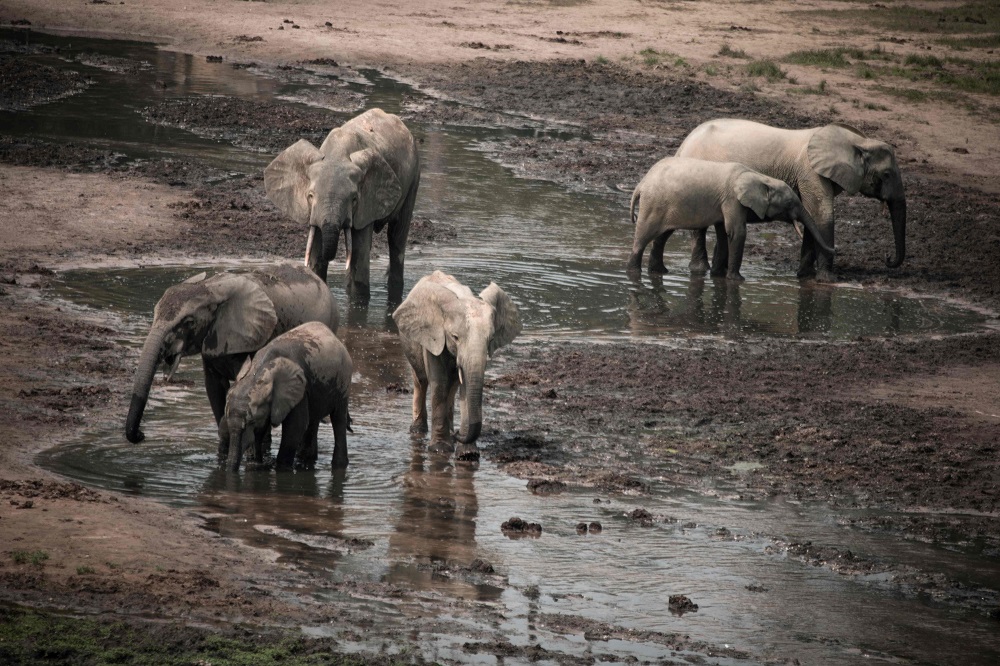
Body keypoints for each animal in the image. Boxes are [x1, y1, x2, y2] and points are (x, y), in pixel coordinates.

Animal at [219, 321, 353, 471]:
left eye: (251, 422)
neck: (258, 372)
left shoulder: (300, 390)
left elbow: (295, 428)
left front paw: (281, 467)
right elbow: (261, 431)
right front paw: (255, 464)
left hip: (343, 381)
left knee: (338, 420)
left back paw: (338, 464)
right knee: (314, 420)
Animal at [264, 108, 421, 305]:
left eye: (354, 199)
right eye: (310, 196)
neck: (337, 155)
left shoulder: (367, 203)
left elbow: (359, 254)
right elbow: (317, 252)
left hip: (414, 177)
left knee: (396, 237)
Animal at [392, 271, 522, 461]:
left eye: (491, 339)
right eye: (455, 337)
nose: (459, 434)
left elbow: (465, 385)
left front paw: (467, 454)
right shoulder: (434, 336)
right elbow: (439, 383)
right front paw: (439, 449)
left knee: (451, 387)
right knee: (421, 380)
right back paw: (418, 430)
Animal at [627, 157, 834, 281]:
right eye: (790, 203)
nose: (835, 249)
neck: (760, 178)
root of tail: (641, 184)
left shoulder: (725, 203)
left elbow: (723, 233)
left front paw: (717, 275)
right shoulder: (732, 199)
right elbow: (737, 233)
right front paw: (736, 280)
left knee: (662, 236)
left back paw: (659, 271)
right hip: (652, 204)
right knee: (643, 237)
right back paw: (634, 273)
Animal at [675, 119, 906, 282]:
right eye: (886, 175)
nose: (887, 258)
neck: (858, 141)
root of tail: (683, 145)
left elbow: (812, 216)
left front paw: (805, 276)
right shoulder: (810, 172)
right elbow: (821, 215)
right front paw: (827, 280)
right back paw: (700, 270)